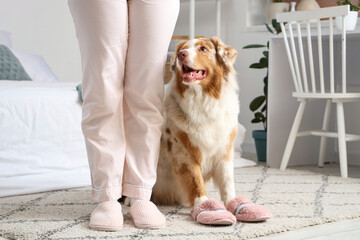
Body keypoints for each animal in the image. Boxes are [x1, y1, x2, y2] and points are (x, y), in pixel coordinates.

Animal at [150, 37, 272, 225]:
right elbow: (196, 182)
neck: (203, 102)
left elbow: (228, 182)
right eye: (183, 49)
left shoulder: (224, 151)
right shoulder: (185, 154)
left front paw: (235, 204)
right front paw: (207, 207)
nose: (181, 54)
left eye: (203, 49)